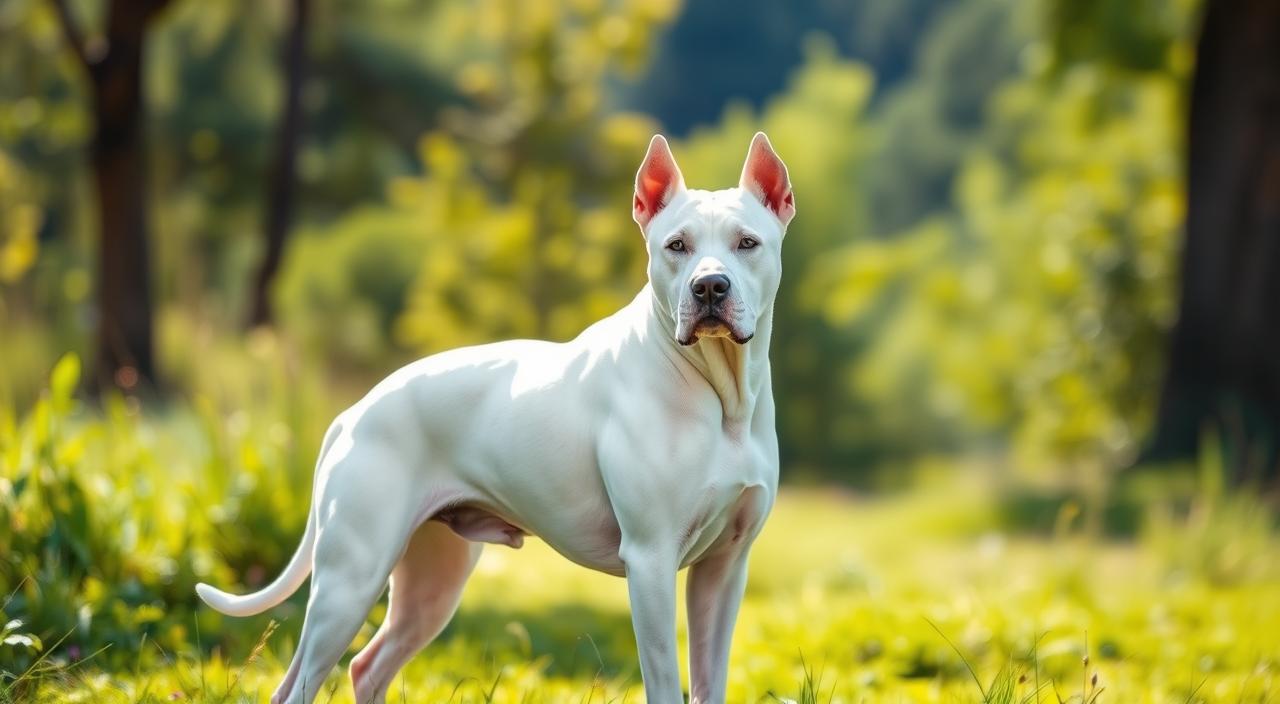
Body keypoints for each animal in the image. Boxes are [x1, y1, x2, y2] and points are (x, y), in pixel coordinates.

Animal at [194, 132, 793, 704]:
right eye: (676, 246)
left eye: (747, 243)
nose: (709, 286)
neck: (718, 393)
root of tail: (354, 411)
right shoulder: (651, 562)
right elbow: (666, 681)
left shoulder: (724, 570)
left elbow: (710, 679)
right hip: (350, 580)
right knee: (298, 685)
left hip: (431, 584)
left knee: (365, 667)